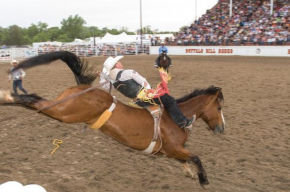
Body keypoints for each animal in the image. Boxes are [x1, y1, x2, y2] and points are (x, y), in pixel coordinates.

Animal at [0, 51, 224, 186]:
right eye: (219, 107)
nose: (221, 129)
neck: (175, 118)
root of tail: (83, 86)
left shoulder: (169, 151)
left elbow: (186, 159)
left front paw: (190, 173)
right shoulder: (174, 148)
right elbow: (196, 157)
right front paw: (203, 179)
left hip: (60, 111)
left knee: (35, 102)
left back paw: (7, 99)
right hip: (64, 111)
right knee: (35, 99)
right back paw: (8, 95)